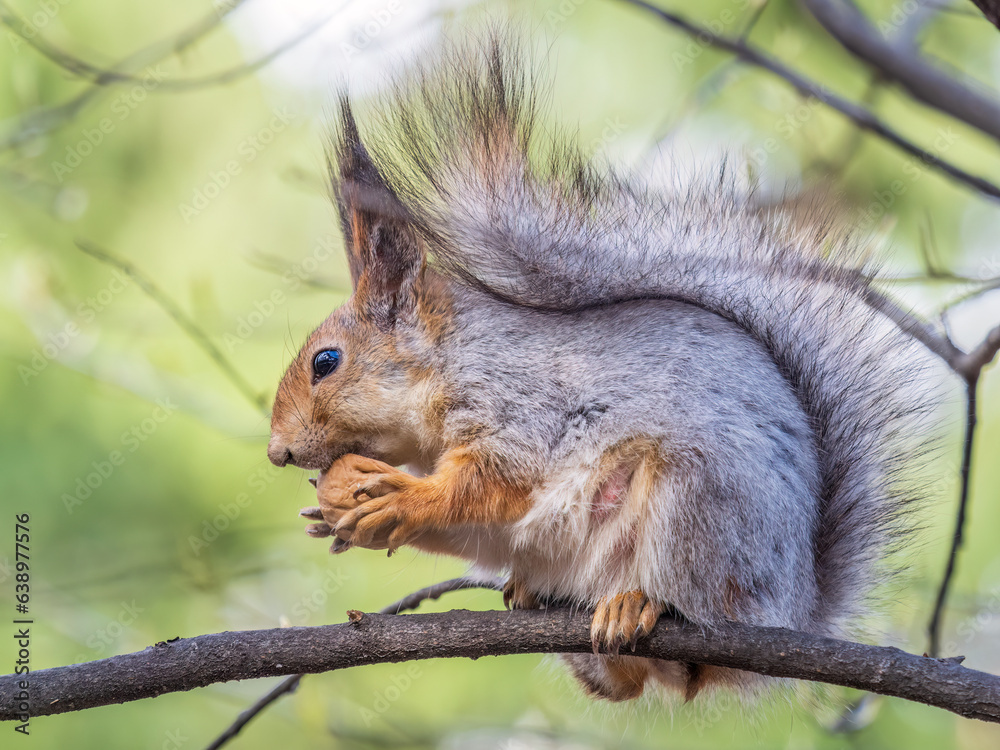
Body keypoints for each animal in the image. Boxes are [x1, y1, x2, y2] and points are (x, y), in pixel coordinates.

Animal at [268, 35, 936, 704]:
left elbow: (491, 484)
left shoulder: (522, 407)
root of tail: (793, 607)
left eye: (326, 362)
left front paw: (405, 500)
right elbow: (474, 528)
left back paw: (639, 604)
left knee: (689, 619)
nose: (277, 453)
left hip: (698, 504)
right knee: (628, 683)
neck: (448, 367)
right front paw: (331, 511)